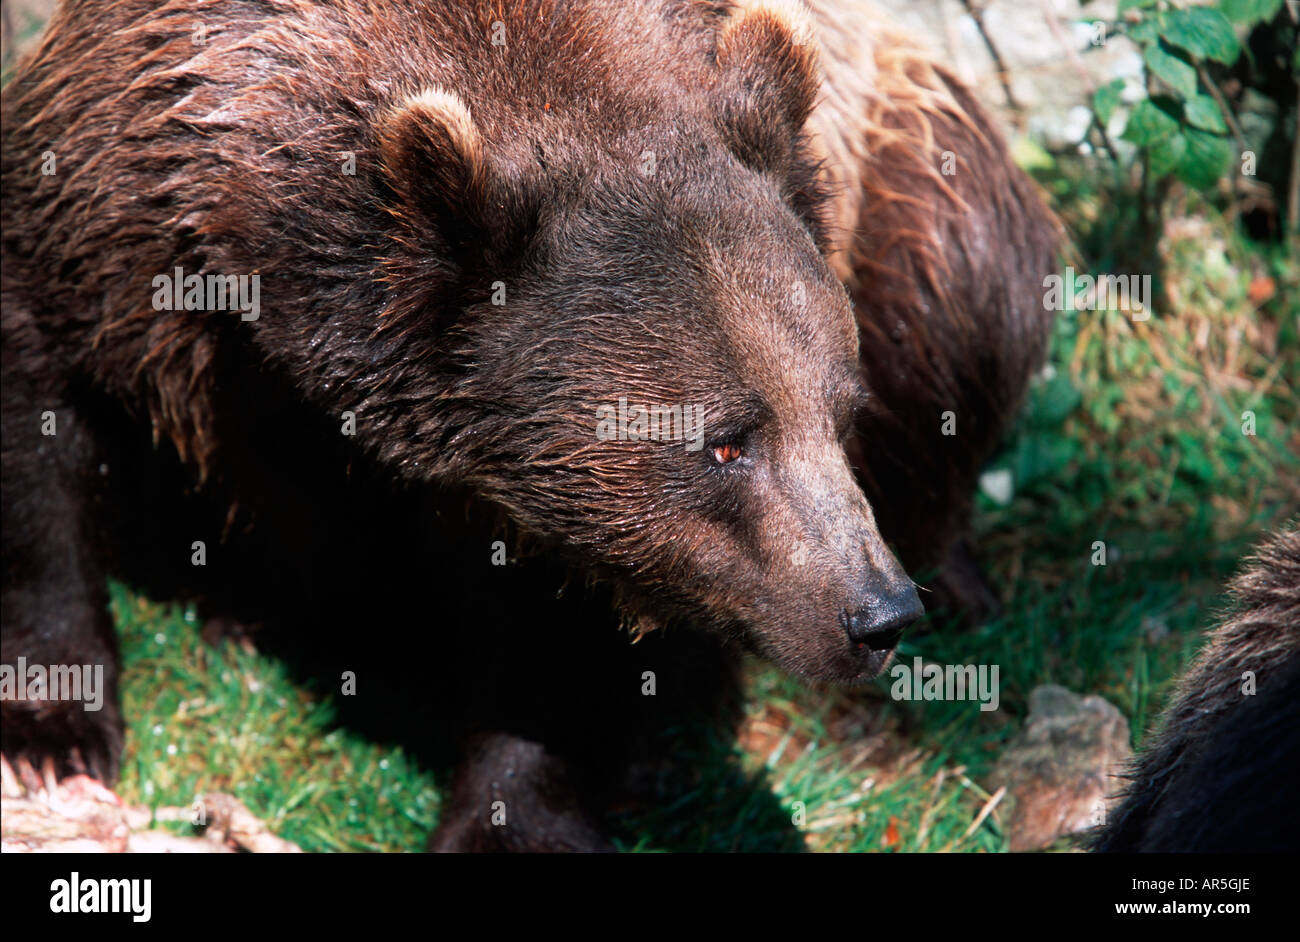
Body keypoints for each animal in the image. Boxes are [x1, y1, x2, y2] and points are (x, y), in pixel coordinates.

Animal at [0, 0, 1055, 852]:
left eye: (839, 412)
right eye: (726, 440)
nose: (877, 614)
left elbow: (551, 629)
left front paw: (517, 815)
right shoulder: (114, 218)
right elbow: (40, 433)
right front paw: (52, 730)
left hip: (905, 166)